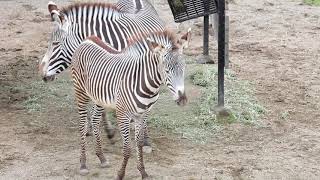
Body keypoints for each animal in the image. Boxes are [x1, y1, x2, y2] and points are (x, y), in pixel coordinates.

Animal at [69, 29, 190, 177]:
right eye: (166, 70)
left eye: (183, 68)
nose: (182, 99)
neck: (144, 83)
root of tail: (88, 39)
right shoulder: (123, 114)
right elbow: (127, 148)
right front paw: (120, 174)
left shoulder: (143, 114)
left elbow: (139, 142)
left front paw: (143, 172)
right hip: (80, 92)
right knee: (82, 125)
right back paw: (83, 164)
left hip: (99, 98)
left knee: (95, 120)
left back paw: (102, 157)